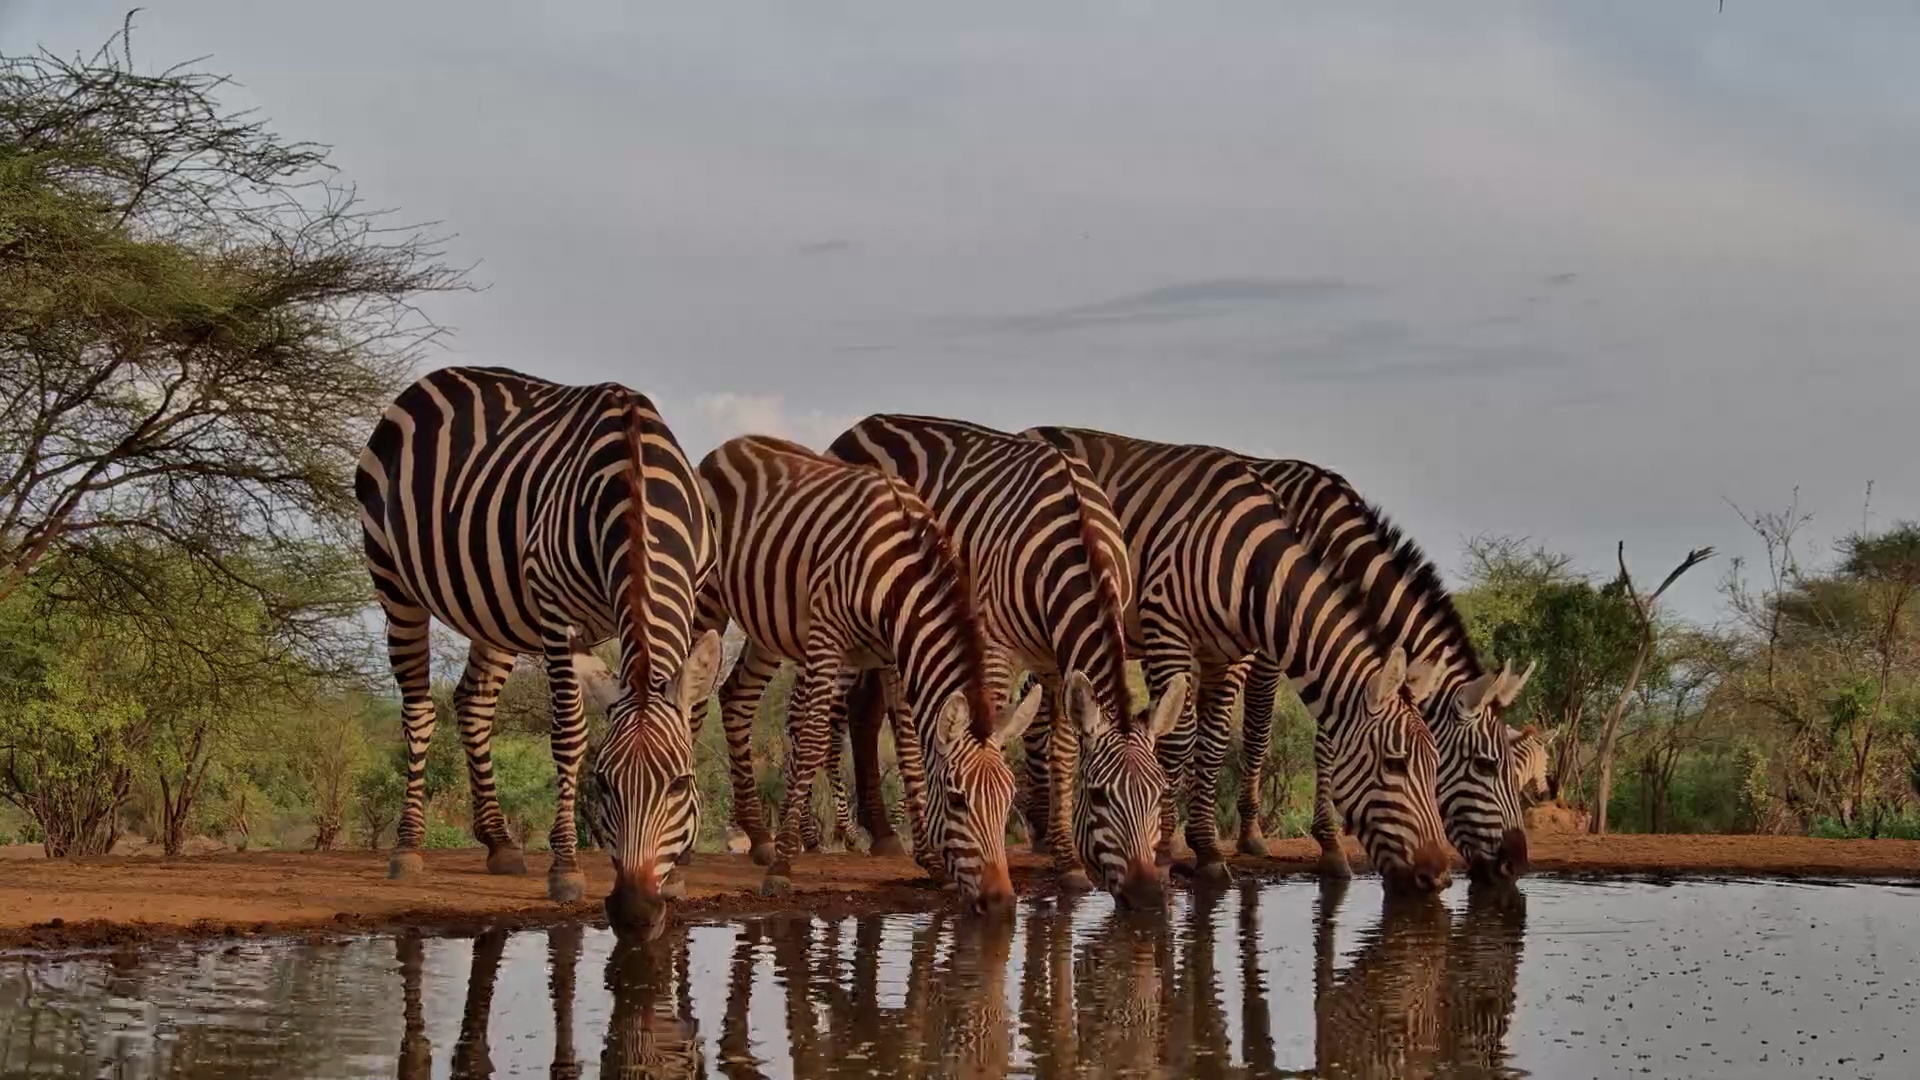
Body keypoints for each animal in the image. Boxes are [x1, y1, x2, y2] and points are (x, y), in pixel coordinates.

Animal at [356, 365, 723, 940]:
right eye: (602, 784)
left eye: (681, 784)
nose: (636, 914)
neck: (636, 483)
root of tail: (428, 380)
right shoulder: (554, 608)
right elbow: (569, 734)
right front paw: (566, 868)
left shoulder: (694, 593)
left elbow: (693, 717)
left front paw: (680, 870)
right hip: (395, 583)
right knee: (419, 712)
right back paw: (408, 847)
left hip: (493, 611)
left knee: (473, 704)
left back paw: (500, 843)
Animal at [691, 434, 1039, 911]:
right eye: (957, 800)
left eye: (1007, 803)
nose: (1002, 901)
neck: (896, 579)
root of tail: (729, 445)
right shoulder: (827, 638)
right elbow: (814, 740)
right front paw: (783, 866)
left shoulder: (893, 656)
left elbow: (910, 750)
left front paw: (930, 862)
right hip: (709, 596)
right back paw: (692, 846)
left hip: (768, 625)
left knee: (736, 697)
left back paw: (758, 837)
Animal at [821, 413, 1189, 906]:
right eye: (1098, 796)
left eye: (1159, 792)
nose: (1149, 896)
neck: (1077, 539)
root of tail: (865, 423)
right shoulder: (995, 643)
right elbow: (988, 732)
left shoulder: (1055, 658)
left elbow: (1062, 751)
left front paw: (1068, 862)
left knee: (866, 712)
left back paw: (883, 836)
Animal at [1021, 426, 1453, 893]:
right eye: (1396, 765)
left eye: (1438, 768)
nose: (1440, 876)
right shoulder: (1187, 631)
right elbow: (1205, 738)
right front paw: (1171, 848)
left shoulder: (1234, 651)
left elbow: (1215, 743)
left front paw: (1208, 849)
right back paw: (1044, 831)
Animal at [1235, 458, 1536, 883]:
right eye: (1485, 765)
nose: (1517, 864)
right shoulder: (1270, 645)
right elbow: (1259, 730)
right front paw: (1252, 834)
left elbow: (1329, 744)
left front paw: (1329, 844)